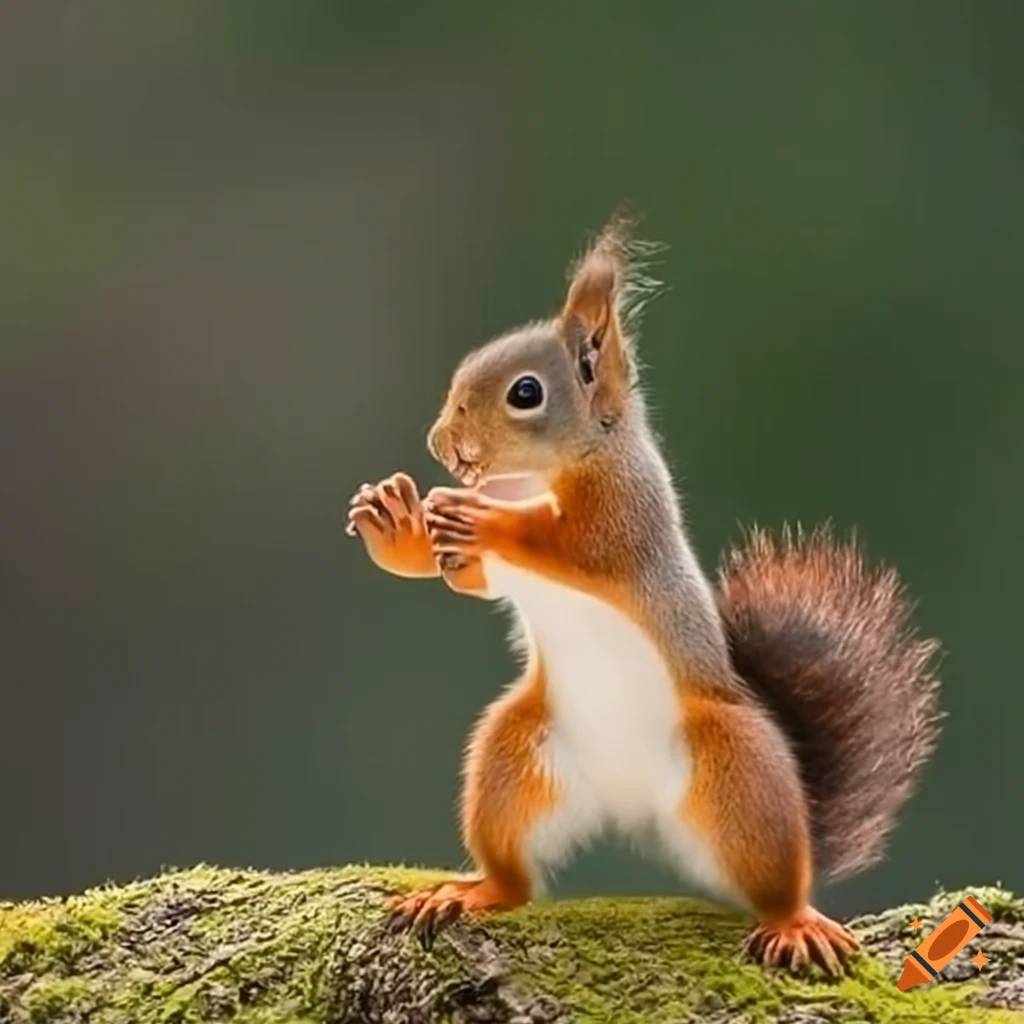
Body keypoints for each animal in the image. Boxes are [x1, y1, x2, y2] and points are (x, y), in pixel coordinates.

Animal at [346, 212, 943, 976]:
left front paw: (480, 516)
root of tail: (629, 802)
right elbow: (470, 578)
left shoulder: (622, 516)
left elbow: (570, 545)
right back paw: (472, 892)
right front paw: (399, 527)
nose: (442, 445)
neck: (546, 473)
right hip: (513, 757)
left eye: (525, 394)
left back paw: (795, 921)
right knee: (515, 874)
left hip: (739, 768)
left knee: (777, 878)